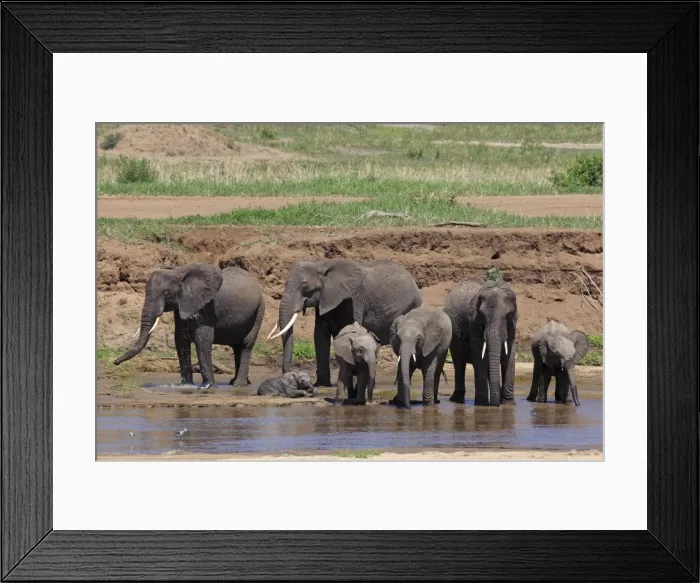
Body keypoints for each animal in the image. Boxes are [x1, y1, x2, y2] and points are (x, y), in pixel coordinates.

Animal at [114, 264, 265, 389]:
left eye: (166, 293)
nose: (115, 362)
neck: (179, 272)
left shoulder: (207, 306)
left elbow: (202, 340)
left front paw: (207, 386)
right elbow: (180, 340)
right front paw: (186, 385)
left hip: (259, 310)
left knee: (246, 344)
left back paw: (238, 385)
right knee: (237, 348)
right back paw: (237, 383)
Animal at [267, 258, 422, 387]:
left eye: (305, 287)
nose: (289, 374)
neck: (322, 265)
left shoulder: (354, 299)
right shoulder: (325, 300)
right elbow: (320, 336)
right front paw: (322, 385)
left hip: (413, 305)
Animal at [444, 278, 518, 406]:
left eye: (508, 315)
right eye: (482, 315)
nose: (496, 405)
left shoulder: (513, 324)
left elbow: (509, 355)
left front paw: (508, 404)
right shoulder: (474, 323)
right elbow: (480, 357)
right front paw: (482, 405)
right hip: (453, 335)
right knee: (459, 363)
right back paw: (456, 400)